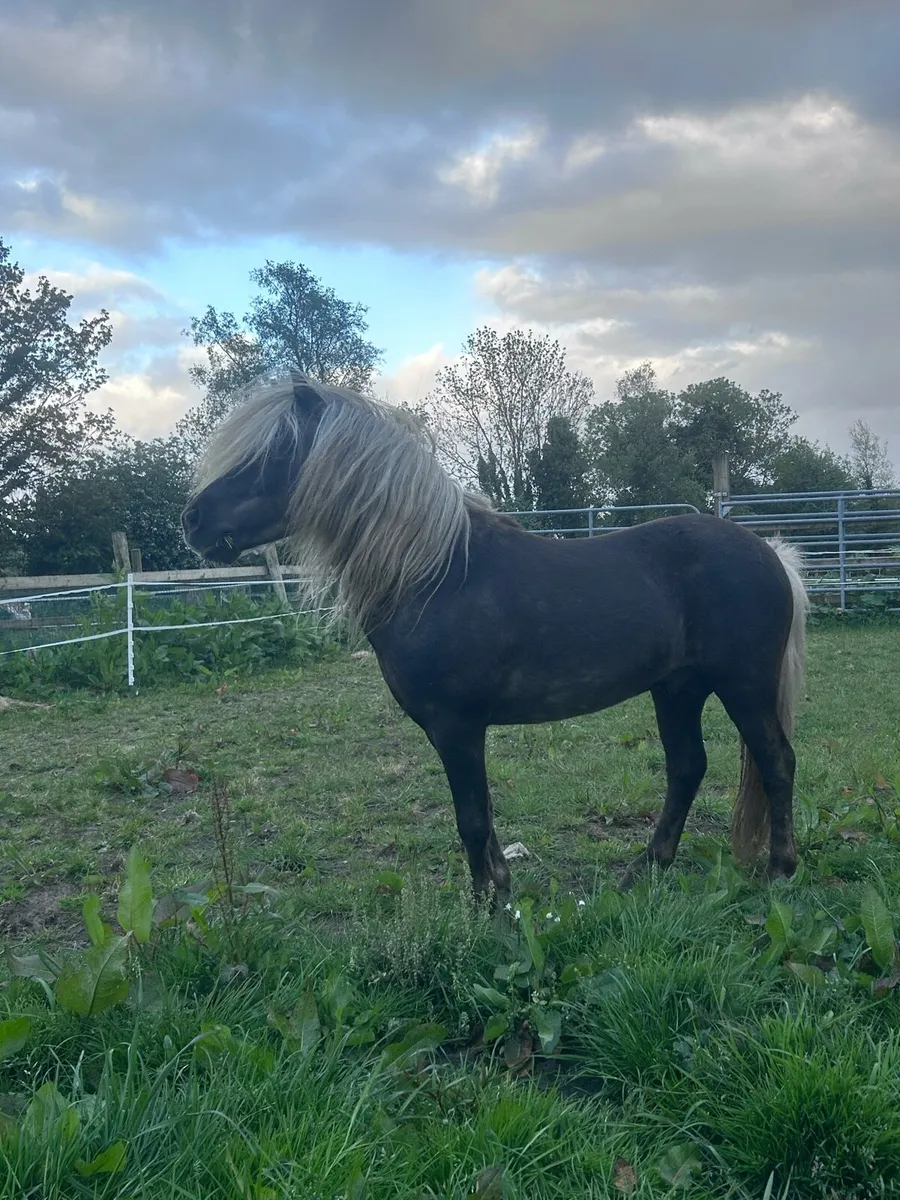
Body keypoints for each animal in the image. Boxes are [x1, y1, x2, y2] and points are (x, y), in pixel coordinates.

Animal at [181, 370, 809, 900]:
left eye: (276, 453)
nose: (193, 521)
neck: (433, 573)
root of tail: (770, 554)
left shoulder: (455, 727)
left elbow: (471, 820)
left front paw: (487, 908)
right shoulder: (459, 731)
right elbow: (482, 816)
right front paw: (499, 891)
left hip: (743, 685)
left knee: (776, 761)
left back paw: (780, 872)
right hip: (677, 688)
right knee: (687, 768)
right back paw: (644, 868)